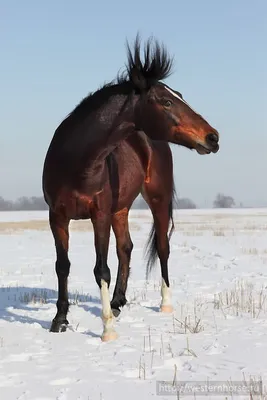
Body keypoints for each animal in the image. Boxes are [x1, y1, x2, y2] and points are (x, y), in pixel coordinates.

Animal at [43, 35, 221, 340]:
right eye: (166, 101)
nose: (213, 137)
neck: (76, 163)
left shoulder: (99, 215)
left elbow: (101, 269)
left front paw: (107, 331)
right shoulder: (57, 216)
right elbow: (62, 266)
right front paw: (60, 320)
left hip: (157, 199)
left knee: (162, 246)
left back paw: (164, 304)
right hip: (121, 209)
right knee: (125, 248)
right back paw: (117, 302)